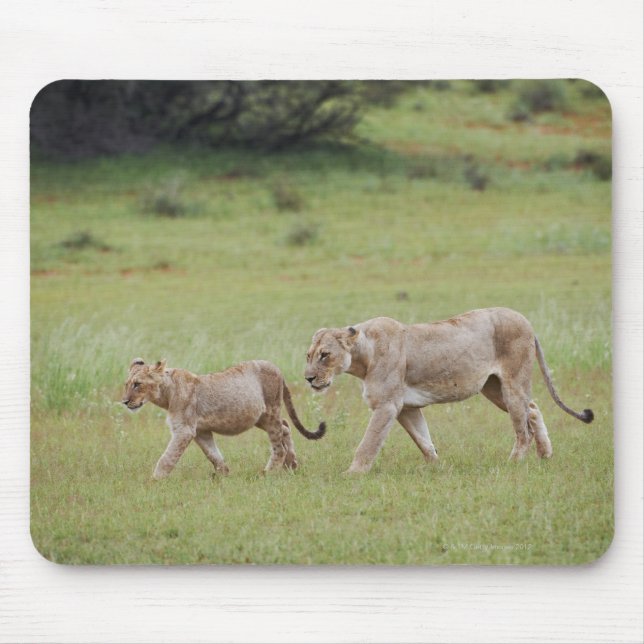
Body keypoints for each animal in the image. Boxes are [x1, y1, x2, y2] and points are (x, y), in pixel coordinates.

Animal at [122, 358, 325, 479]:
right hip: (260, 417)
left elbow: (167, 458)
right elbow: (213, 455)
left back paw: (267, 473)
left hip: (270, 411)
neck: (166, 394)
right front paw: (224, 475)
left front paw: (154, 481)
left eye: (137, 384)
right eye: (126, 384)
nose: (124, 401)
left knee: (279, 445)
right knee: (285, 427)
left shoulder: (184, 430)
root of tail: (277, 368)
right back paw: (292, 465)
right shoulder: (200, 431)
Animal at [304, 307, 593, 473]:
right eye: (308, 356)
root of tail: (526, 321)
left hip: (512, 383)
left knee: (523, 430)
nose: (308, 378)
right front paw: (437, 468)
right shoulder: (406, 408)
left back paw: (513, 464)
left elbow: (368, 443)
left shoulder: (387, 405)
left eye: (325, 355)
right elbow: (423, 440)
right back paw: (545, 455)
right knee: (532, 409)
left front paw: (352, 474)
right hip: (493, 388)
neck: (362, 356)